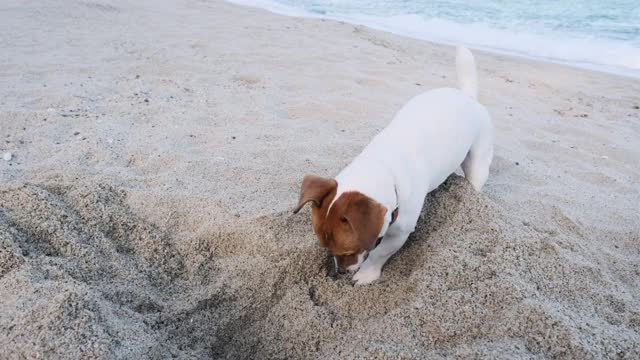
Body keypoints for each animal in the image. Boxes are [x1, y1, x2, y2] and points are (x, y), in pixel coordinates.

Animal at [292, 46, 492, 286]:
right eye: (326, 248)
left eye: (349, 251)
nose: (338, 272)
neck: (382, 168)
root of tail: (467, 96)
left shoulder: (399, 233)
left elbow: (379, 253)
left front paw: (366, 274)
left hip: (479, 160)